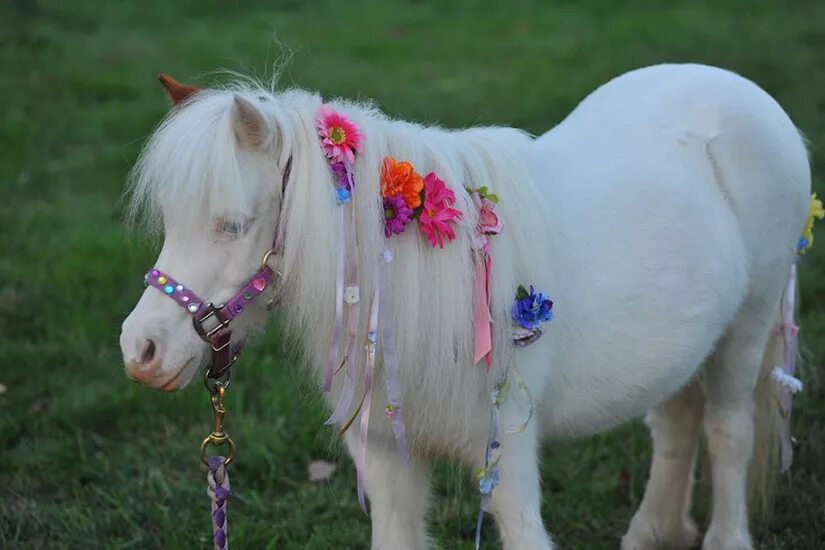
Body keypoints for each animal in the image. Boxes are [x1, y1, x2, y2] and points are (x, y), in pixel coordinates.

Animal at [119, 62, 808, 548]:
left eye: (233, 225)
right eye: (171, 221)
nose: (141, 349)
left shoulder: (506, 459)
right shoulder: (386, 460)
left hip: (748, 326)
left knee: (727, 430)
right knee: (675, 425)